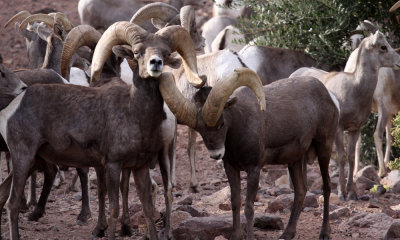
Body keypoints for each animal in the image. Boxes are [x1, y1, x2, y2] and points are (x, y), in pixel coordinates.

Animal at [0, 21, 205, 240]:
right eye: (138, 52)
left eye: (165, 53)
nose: (155, 63)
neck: (134, 112)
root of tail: (14, 107)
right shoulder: (113, 165)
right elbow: (112, 206)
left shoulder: (139, 167)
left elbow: (148, 208)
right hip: (23, 158)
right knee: (12, 204)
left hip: (33, 160)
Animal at [290, 31, 400, 201]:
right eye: (383, 47)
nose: (398, 62)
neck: (355, 89)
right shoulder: (339, 128)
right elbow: (342, 157)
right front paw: (342, 193)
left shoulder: (355, 129)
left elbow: (351, 157)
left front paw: (352, 193)